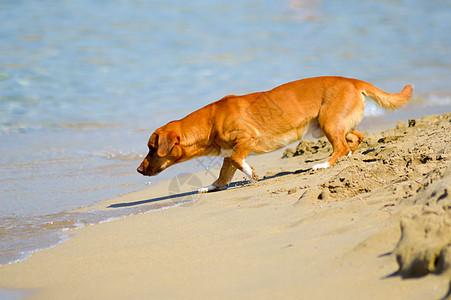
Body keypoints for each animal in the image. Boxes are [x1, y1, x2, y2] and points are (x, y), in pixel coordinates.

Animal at [138, 77, 414, 192]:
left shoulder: (246, 140)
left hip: (328, 123)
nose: (139, 170)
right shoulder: (227, 154)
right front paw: (211, 187)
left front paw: (251, 173)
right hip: (330, 125)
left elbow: (238, 161)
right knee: (355, 138)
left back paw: (323, 165)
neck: (210, 120)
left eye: (152, 148)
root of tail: (353, 81)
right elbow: (224, 173)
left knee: (341, 147)